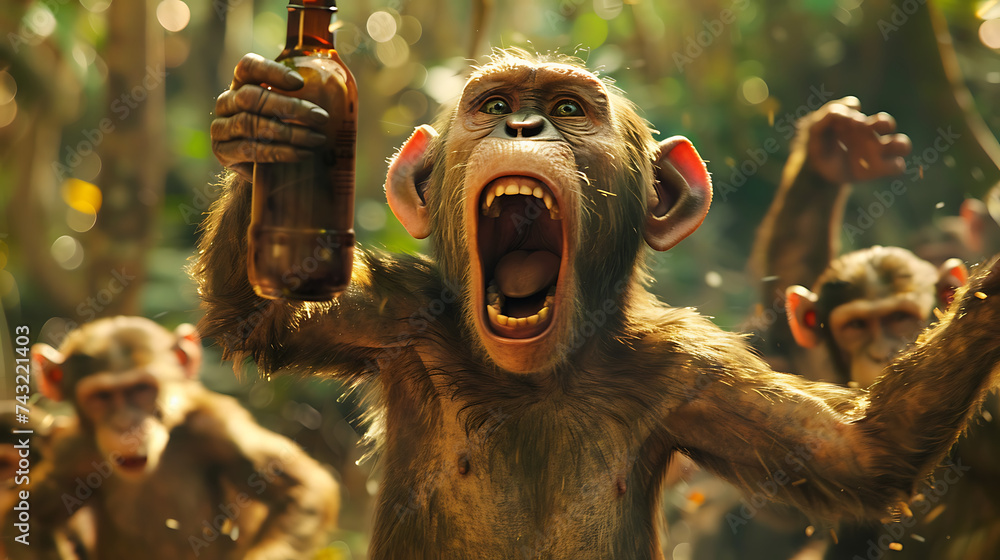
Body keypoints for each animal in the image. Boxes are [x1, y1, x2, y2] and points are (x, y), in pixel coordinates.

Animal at [4, 316, 339, 560]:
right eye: (101, 397)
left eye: (141, 389)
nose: (126, 424)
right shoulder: (73, 453)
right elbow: (26, 520)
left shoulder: (219, 427)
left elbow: (302, 491)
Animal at [198, 48, 1000, 559]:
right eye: (495, 106)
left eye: (566, 108)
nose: (524, 126)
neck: (538, 378)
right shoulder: (396, 319)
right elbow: (264, 315)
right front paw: (266, 120)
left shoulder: (692, 373)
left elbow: (860, 450)